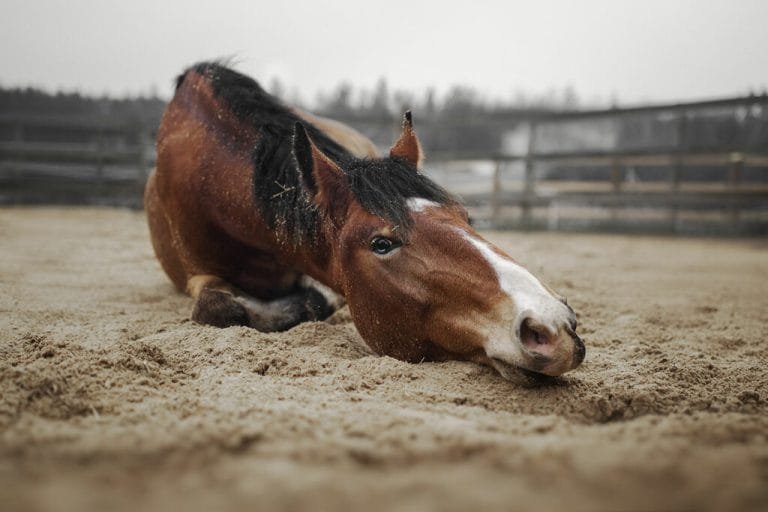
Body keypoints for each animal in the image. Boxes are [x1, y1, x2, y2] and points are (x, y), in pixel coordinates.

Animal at [145, 62, 585, 379]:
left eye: (466, 215)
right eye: (381, 244)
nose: (554, 325)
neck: (213, 179)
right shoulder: (196, 273)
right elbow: (219, 308)